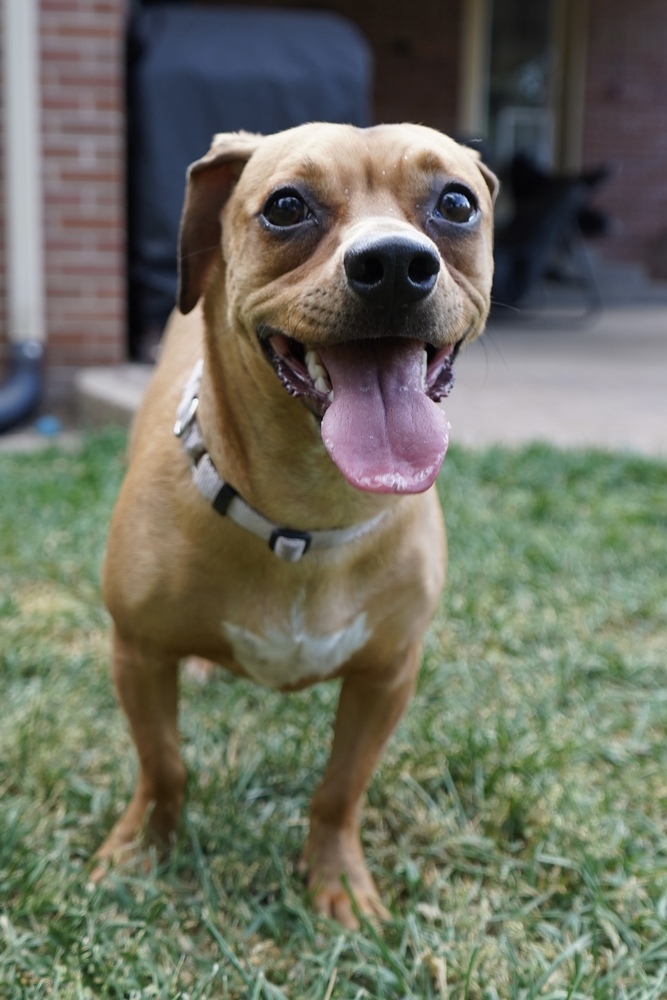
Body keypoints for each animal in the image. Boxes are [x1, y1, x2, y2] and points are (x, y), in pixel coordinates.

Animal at [94, 125, 496, 928]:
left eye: (456, 203)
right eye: (285, 206)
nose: (395, 265)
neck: (306, 514)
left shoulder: (385, 677)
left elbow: (340, 789)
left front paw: (336, 877)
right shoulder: (138, 653)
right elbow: (163, 765)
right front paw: (141, 848)